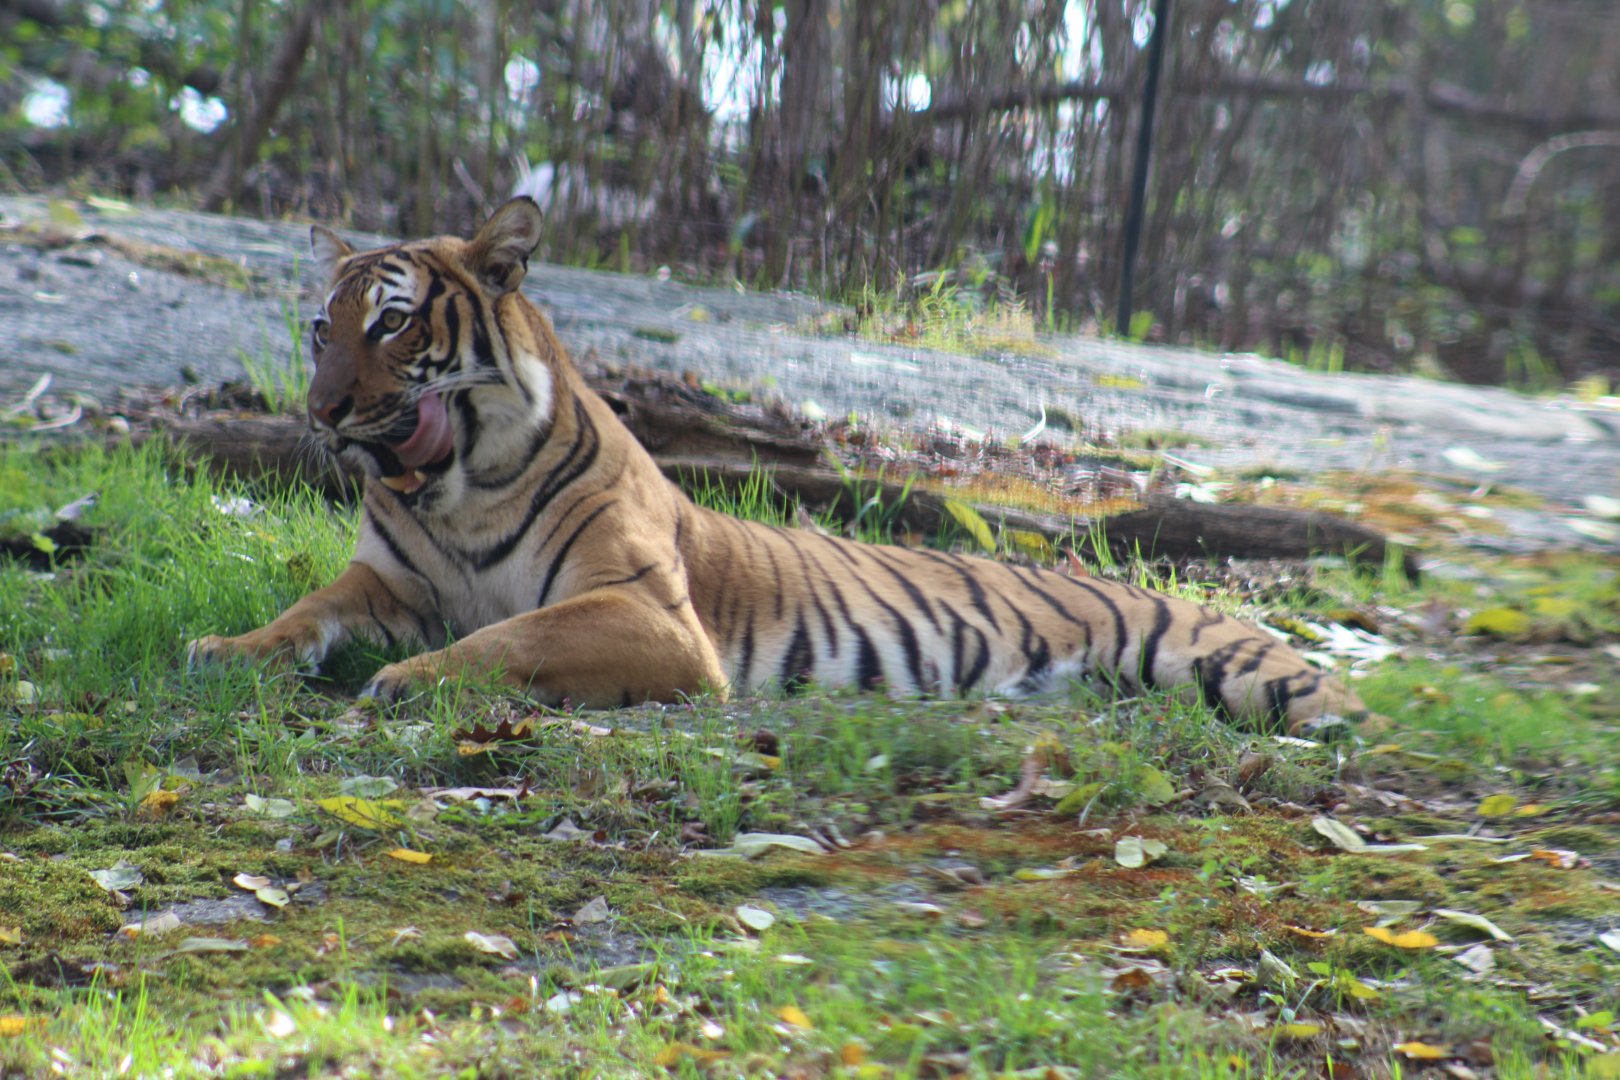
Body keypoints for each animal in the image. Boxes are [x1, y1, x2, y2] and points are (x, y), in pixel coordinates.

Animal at [187, 197, 1368, 736]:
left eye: (390, 324)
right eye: (321, 329)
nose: (320, 411)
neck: (459, 491)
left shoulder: (648, 614)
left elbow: (508, 638)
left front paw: (405, 680)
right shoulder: (385, 581)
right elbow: (302, 612)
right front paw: (225, 648)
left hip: (1253, 674)